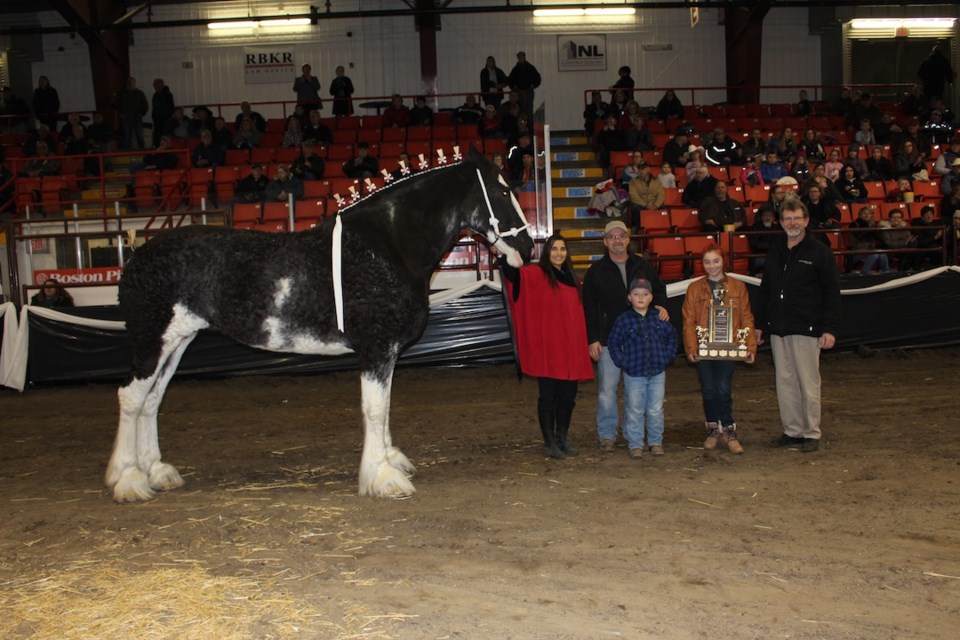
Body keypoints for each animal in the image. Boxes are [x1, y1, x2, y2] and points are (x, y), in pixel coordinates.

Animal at [107, 148, 532, 502]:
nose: (527, 250)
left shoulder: (387, 352)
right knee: (131, 397)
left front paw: (389, 461)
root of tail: (136, 257)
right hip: (151, 341)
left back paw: (157, 471)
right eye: (502, 191)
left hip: (178, 341)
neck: (386, 247)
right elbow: (375, 409)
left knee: (152, 400)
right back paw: (128, 480)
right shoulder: (376, 348)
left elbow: (385, 407)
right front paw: (383, 478)